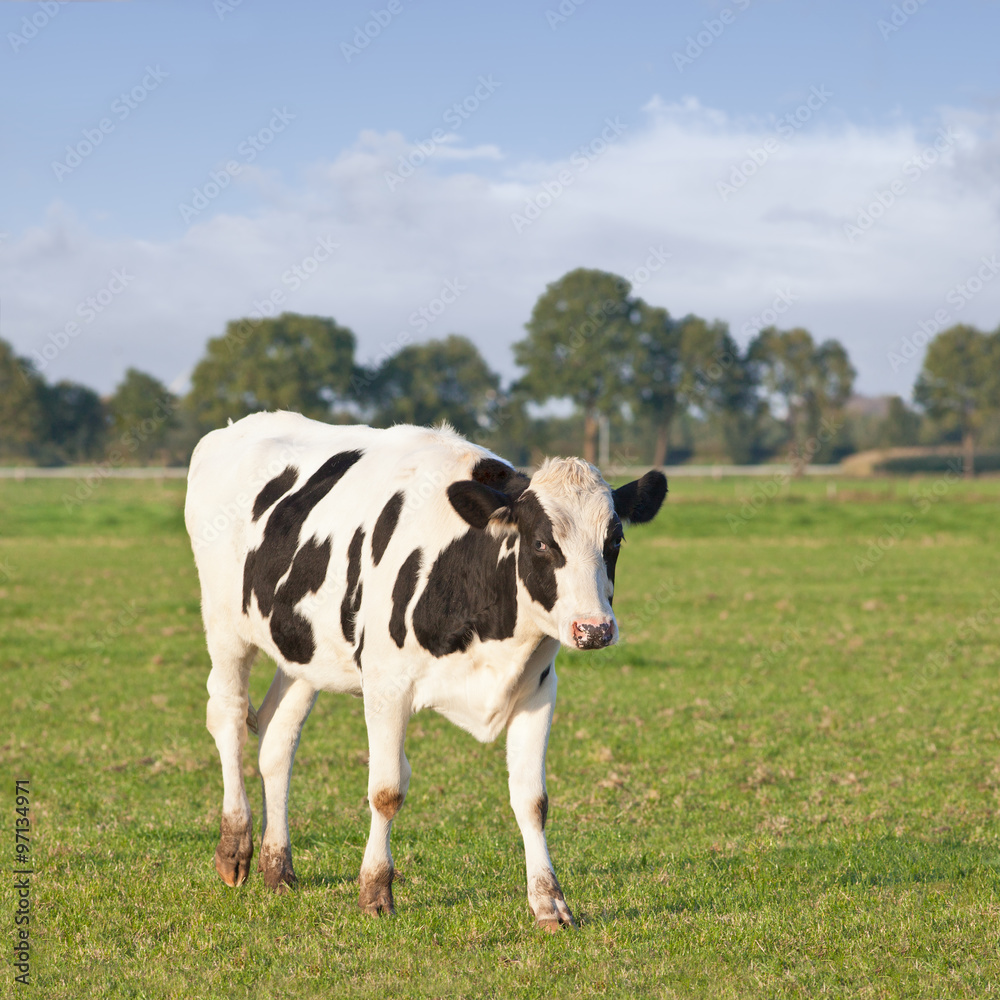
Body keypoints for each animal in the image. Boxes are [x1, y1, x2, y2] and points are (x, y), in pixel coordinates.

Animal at [184, 410, 668, 924]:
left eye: (614, 540)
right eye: (540, 543)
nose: (594, 629)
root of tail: (238, 426)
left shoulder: (537, 690)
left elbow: (532, 800)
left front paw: (549, 902)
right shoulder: (385, 686)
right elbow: (387, 790)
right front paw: (375, 892)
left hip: (302, 649)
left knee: (277, 737)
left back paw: (278, 868)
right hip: (225, 626)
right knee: (229, 717)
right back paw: (234, 846)